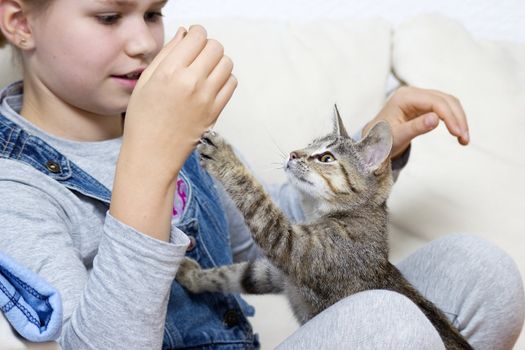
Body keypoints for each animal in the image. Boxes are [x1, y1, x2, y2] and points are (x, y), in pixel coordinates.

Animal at [175, 107, 470, 350]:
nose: (294, 153)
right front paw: (190, 274)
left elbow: (254, 197)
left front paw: (225, 157)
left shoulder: (290, 244)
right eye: (309, 145)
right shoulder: (276, 273)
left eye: (326, 158)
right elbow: (233, 275)